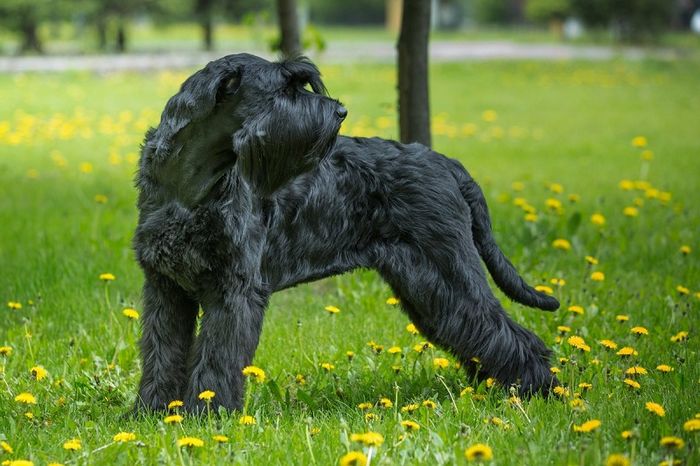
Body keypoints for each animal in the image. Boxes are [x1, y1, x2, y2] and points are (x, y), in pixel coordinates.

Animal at [131, 52, 556, 414]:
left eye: (300, 83)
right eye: (284, 89)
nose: (340, 111)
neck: (190, 183)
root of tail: (447, 164)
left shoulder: (233, 291)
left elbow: (217, 359)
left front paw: (206, 414)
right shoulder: (166, 288)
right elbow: (162, 353)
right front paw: (152, 412)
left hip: (447, 274)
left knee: (505, 332)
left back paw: (538, 391)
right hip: (426, 286)